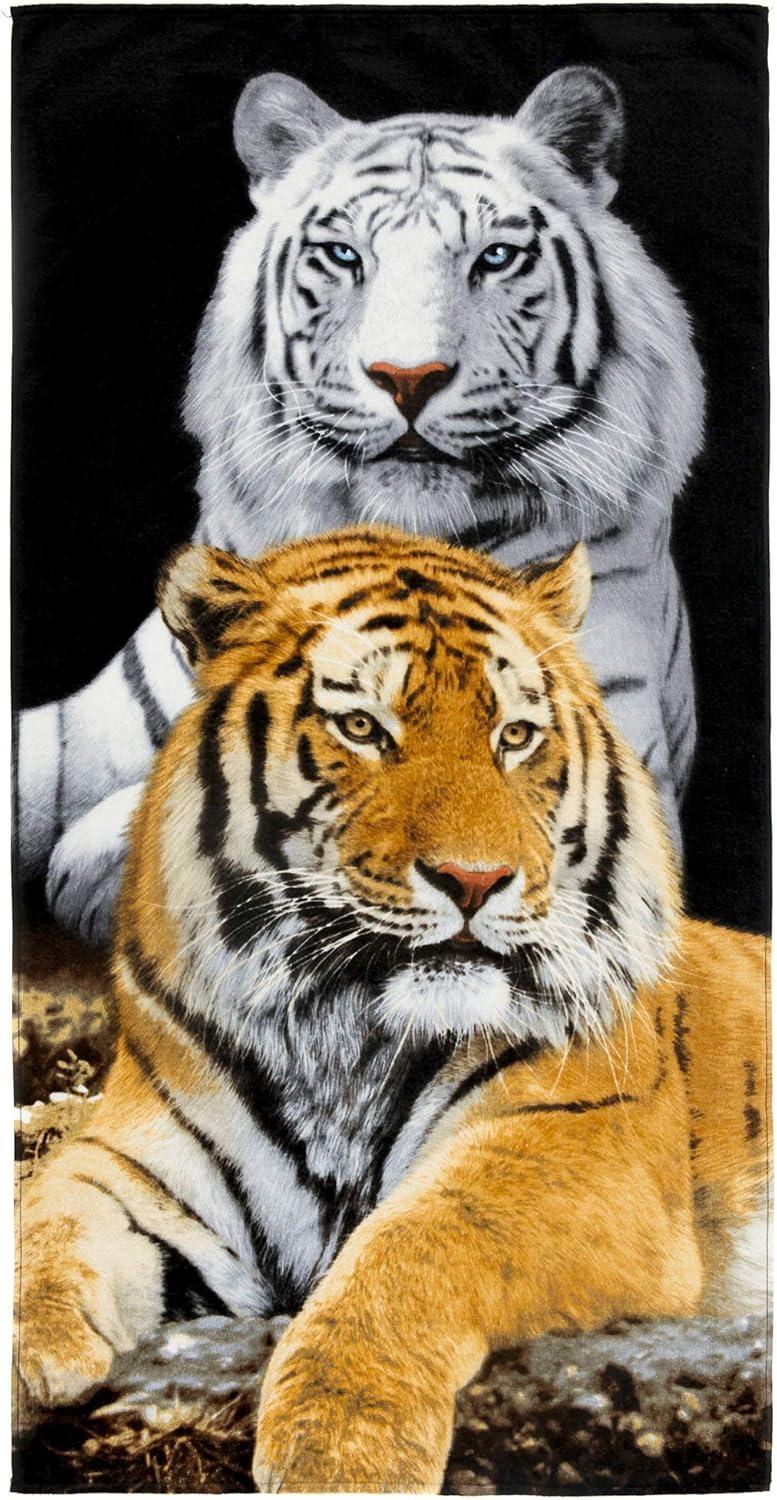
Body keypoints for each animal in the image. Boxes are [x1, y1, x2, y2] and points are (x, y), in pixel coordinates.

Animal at [16, 527, 768, 1494]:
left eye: (514, 735)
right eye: (363, 728)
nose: (474, 881)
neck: (342, 1027)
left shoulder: (574, 1138)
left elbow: (420, 1241)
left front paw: (340, 1447)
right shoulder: (136, 1158)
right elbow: (49, 1215)